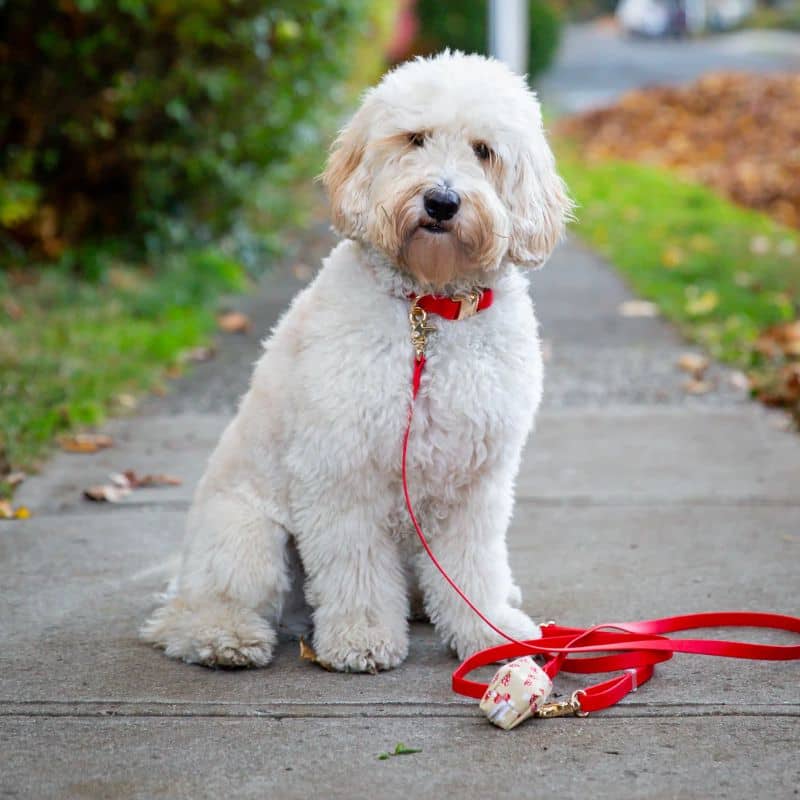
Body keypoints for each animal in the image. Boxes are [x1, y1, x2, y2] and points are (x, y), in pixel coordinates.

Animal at [142, 53, 568, 672]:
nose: (442, 202)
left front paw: (489, 630)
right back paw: (225, 636)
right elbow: (357, 568)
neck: (428, 310)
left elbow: (473, 567)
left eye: (484, 150)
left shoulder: (476, 482)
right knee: (194, 613)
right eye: (415, 139)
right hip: (247, 537)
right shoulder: (343, 471)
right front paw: (362, 638)